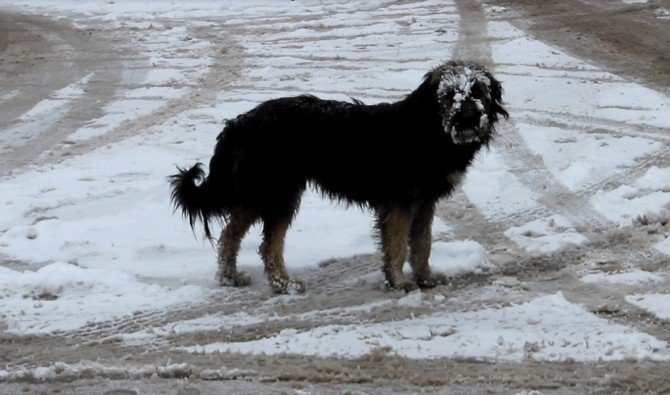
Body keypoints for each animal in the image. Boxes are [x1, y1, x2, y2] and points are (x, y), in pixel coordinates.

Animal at [171, 58, 506, 294]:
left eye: (477, 91)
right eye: (449, 95)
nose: (467, 118)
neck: (429, 131)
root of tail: (239, 122)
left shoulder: (423, 203)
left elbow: (423, 243)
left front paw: (425, 276)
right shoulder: (399, 203)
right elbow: (398, 245)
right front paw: (399, 281)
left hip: (263, 193)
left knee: (231, 235)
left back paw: (230, 277)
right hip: (277, 193)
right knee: (264, 244)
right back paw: (284, 285)